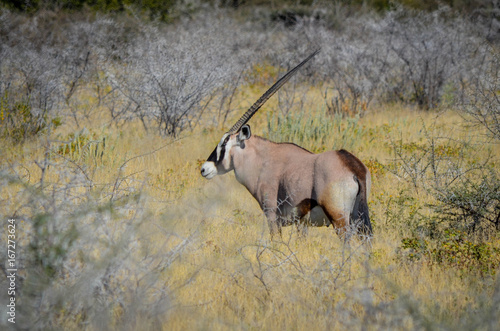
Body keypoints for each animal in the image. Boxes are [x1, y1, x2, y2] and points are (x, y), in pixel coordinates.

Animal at [202, 50, 372, 237]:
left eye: (224, 143)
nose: (204, 169)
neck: (262, 161)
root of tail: (353, 167)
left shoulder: (271, 215)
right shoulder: (301, 223)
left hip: (339, 219)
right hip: (358, 219)